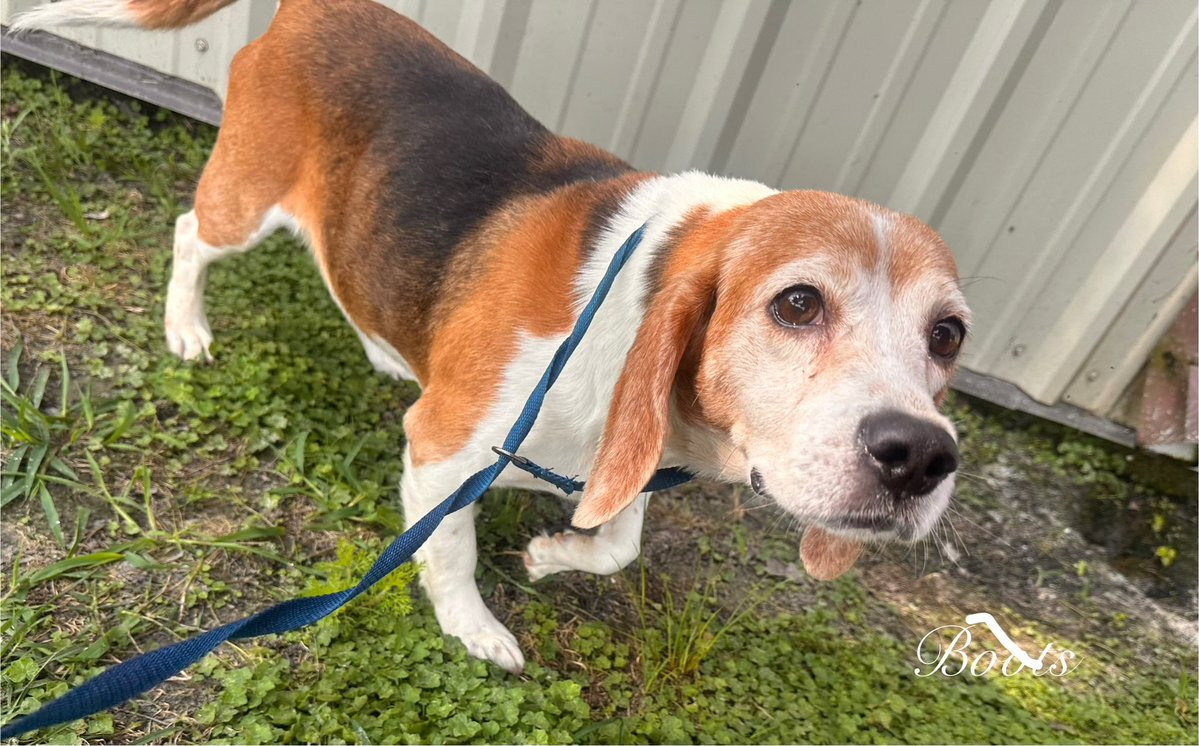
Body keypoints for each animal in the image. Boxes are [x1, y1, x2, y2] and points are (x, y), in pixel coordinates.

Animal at [16, 0, 971, 674]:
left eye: (949, 334)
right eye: (797, 304)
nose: (921, 457)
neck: (625, 313)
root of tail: (311, 7)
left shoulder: (624, 455)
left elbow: (617, 542)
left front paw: (553, 555)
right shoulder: (443, 451)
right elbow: (451, 548)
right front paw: (473, 627)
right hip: (244, 198)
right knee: (188, 234)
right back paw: (187, 326)